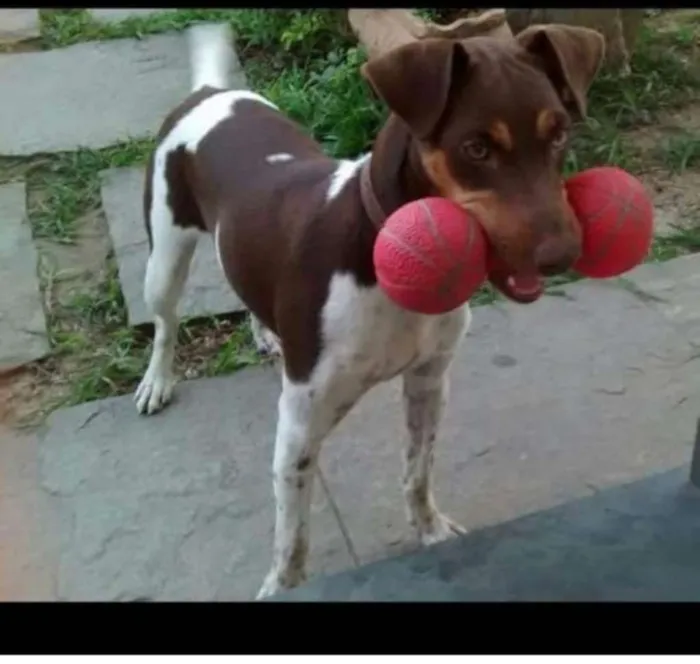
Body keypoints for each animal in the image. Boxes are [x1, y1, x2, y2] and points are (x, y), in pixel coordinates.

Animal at [134, 20, 604, 600]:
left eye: (558, 135)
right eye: (476, 148)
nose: (563, 255)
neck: (390, 260)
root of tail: (209, 93)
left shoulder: (429, 381)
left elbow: (418, 473)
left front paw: (430, 532)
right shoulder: (299, 425)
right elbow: (292, 536)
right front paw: (282, 587)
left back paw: (265, 332)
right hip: (164, 257)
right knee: (165, 322)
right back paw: (157, 381)